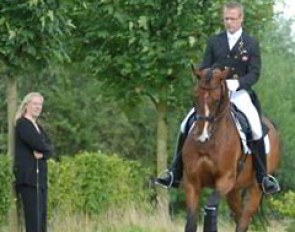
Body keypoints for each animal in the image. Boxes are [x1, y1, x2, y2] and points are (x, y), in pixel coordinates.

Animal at [183, 66, 282, 231]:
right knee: (240, 215)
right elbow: (190, 221)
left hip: (255, 188)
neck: (210, 143)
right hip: (234, 190)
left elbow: (210, 209)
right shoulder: (192, 182)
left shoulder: (225, 180)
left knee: (244, 217)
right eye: (195, 96)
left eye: (216, 100)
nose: (201, 135)